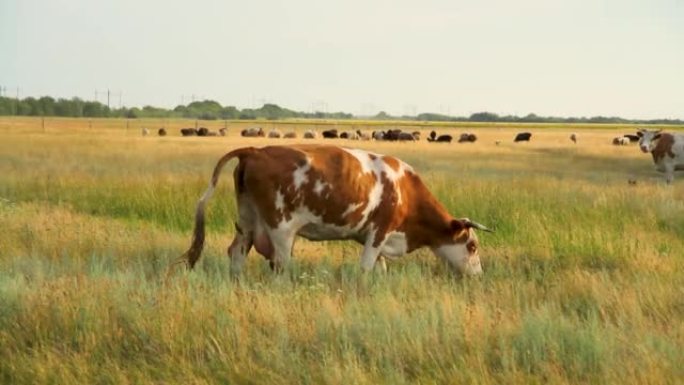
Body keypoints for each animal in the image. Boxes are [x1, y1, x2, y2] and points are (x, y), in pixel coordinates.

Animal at [179, 145, 492, 276]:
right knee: (280, 263)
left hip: (247, 220)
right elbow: (366, 267)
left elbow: (380, 268)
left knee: (237, 251)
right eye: (472, 246)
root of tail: (255, 150)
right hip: (281, 228)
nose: (478, 275)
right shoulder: (379, 231)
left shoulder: (375, 237)